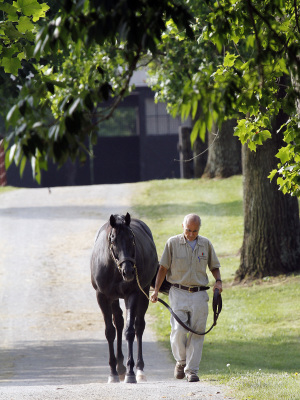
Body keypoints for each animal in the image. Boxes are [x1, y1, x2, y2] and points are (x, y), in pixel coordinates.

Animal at [91, 214, 169, 382]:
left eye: (132, 239)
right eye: (113, 240)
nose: (128, 272)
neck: (115, 269)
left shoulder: (132, 294)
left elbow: (130, 331)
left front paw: (130, 372)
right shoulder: (102, 297)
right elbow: (110, 331)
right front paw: (113, 372)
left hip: (143, 293)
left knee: (139, 326)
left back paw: (139, 370)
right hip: (113, 298)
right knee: (118, 322)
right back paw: (119, 367)